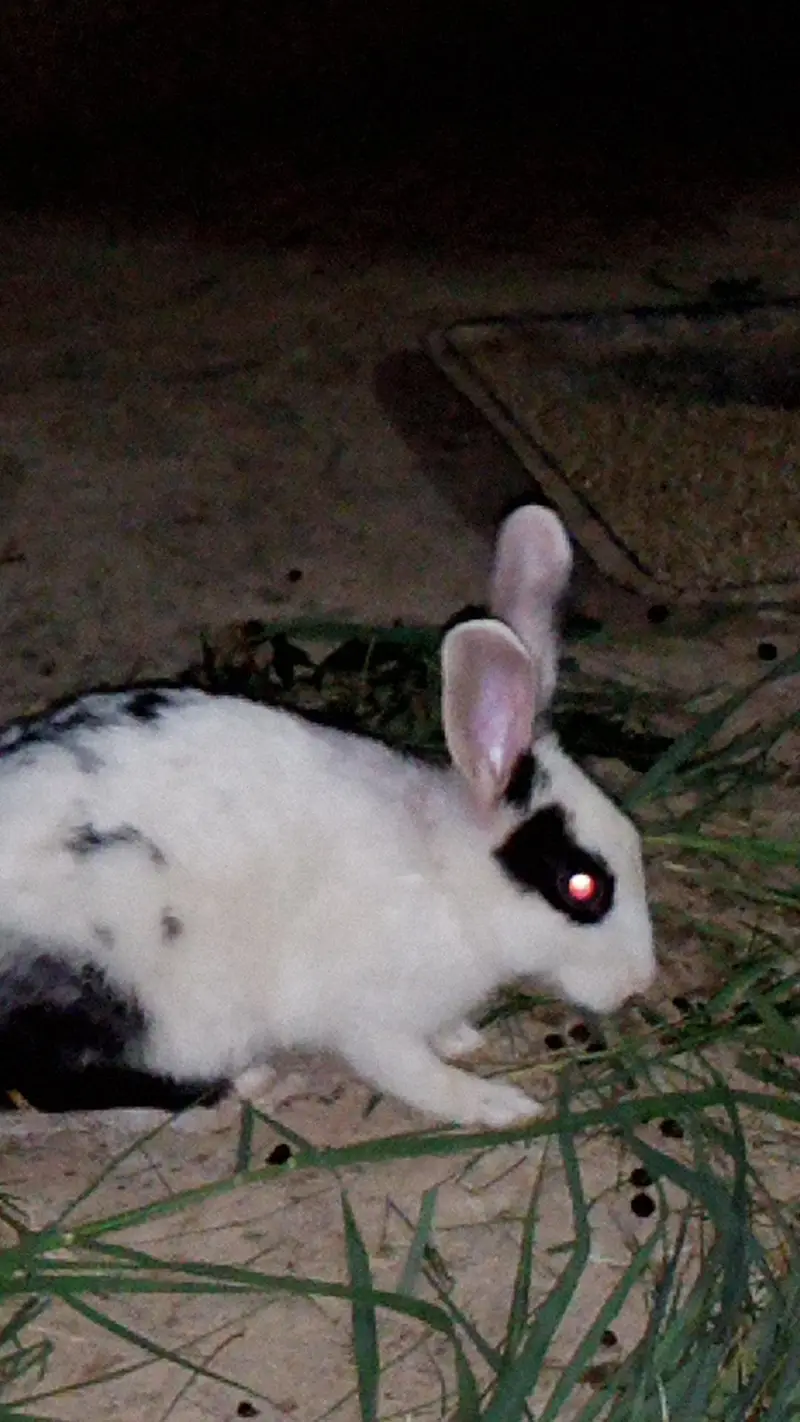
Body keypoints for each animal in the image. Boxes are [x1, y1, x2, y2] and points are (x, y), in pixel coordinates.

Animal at [0, 505, 656, 1127]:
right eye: (582, 886)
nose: (640, 982)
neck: (449, 883)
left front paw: (463, 1038)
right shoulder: (373, 1020)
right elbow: (415, 1075)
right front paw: (498, 1104)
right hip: (125, 993)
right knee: (53, 1082)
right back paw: (241, 1085)